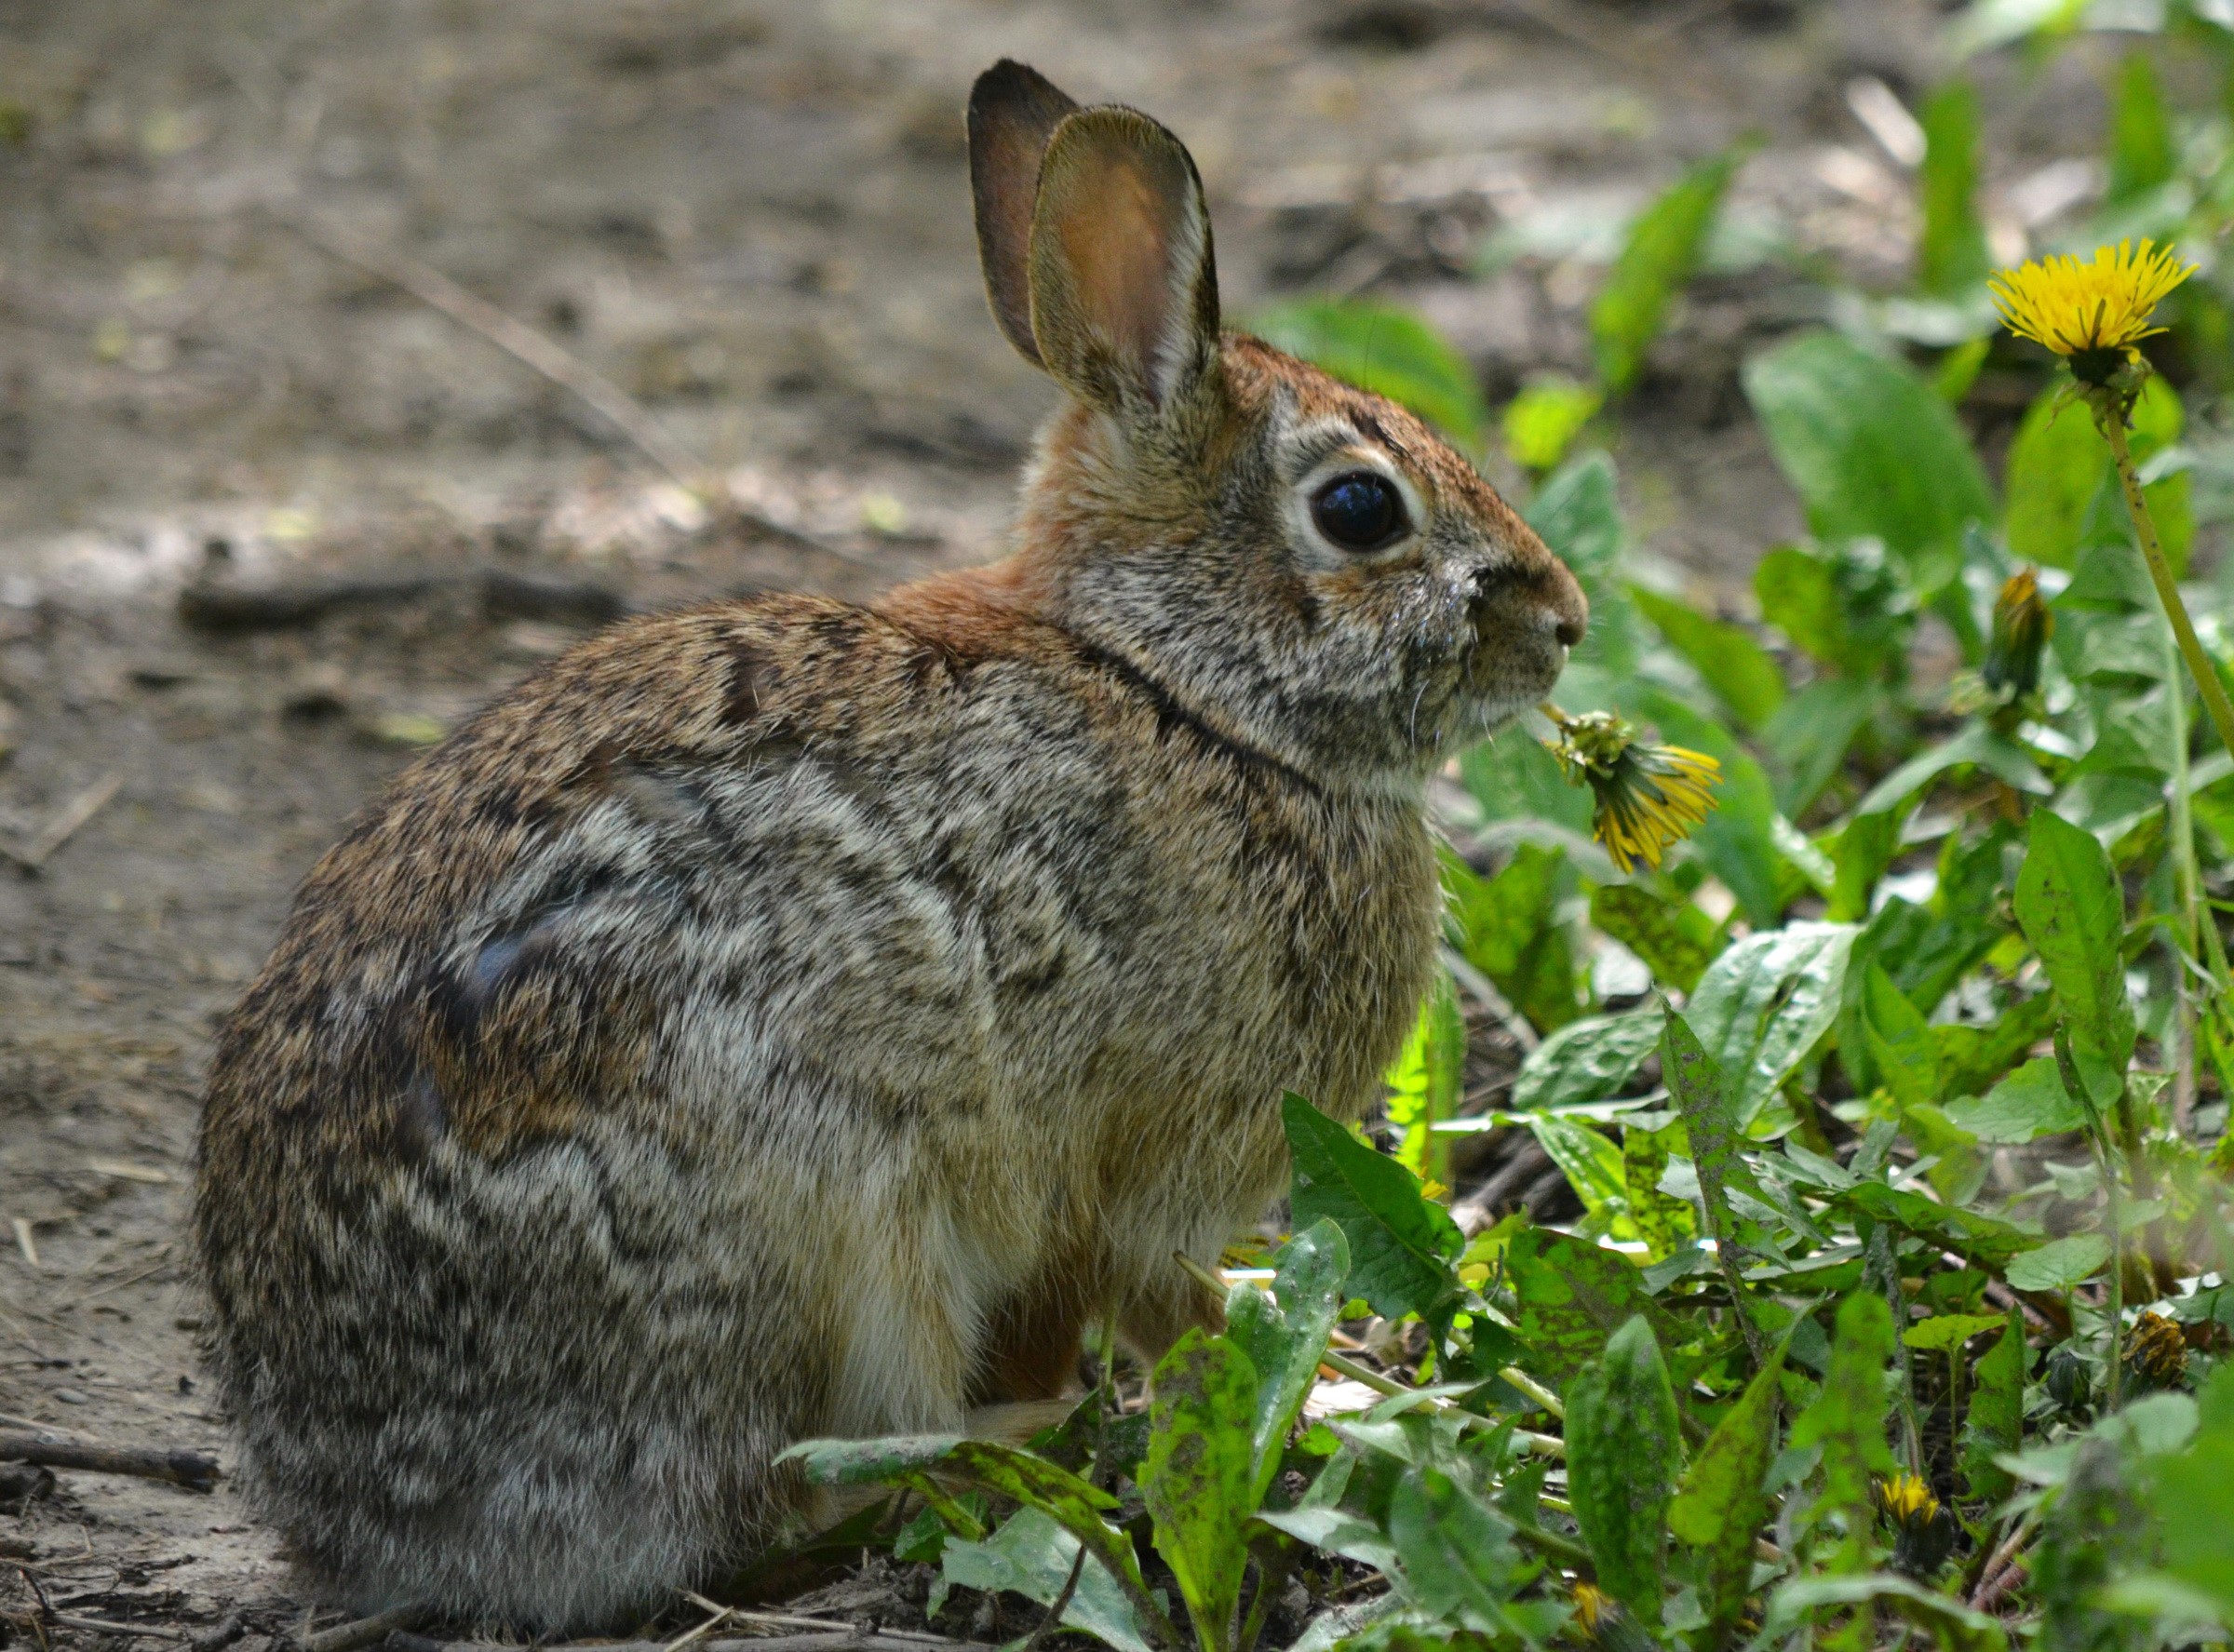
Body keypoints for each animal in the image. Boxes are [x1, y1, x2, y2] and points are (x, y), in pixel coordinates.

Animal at [191, 59, 1587, 1633]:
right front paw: (1311, 1390)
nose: (1566, 621)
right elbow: (1172, 1310)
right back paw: (1020, 1442)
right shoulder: (1140, 1174)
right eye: (1359, 509)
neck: (1184, 694)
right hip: (820, 1204)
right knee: (806, 1482)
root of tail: (373, 1505)